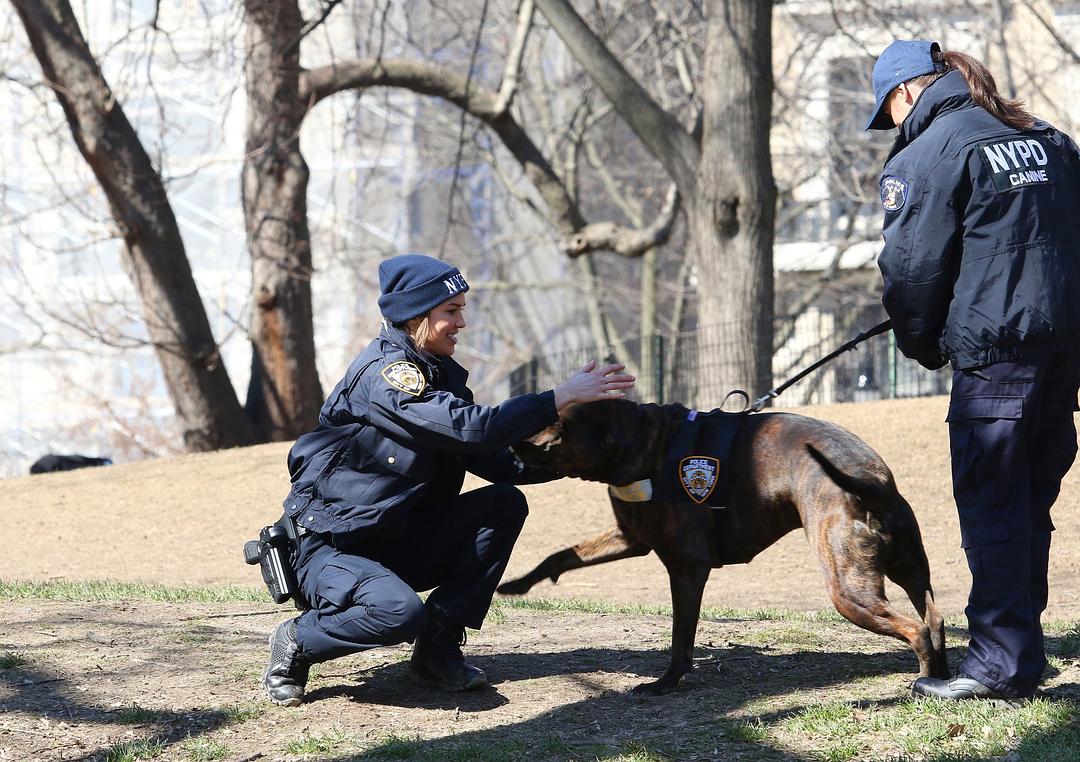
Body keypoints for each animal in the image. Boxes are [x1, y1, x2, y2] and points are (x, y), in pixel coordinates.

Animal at [501, 401, 950, 690]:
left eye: (559, 429)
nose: (512, 443)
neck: (648, 444)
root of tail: (871, 482)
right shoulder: (632, 537)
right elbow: (562, 554)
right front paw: (518, 584)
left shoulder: (686, 567)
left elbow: (681, 633)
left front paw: (667, 682)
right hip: (910, 570)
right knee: (935, 620)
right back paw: (942, 678)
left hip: (847, 590)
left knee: (916, 629)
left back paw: (923, 682)